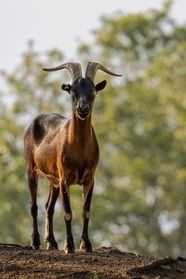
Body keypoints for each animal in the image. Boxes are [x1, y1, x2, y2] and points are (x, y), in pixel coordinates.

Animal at [23, 61, 121, 254]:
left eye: (93, 90)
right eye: (72, 90)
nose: (83, 109)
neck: (79, 152)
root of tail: (32, 123)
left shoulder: (90, 178)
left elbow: (86, 211)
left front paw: (86, 245)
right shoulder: (65, 179)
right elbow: (68, 212)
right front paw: (69, 246)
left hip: (53, 180)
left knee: (48, 207)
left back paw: (51, 243)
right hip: (32, 169)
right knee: (34, 205)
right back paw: (36, 242)